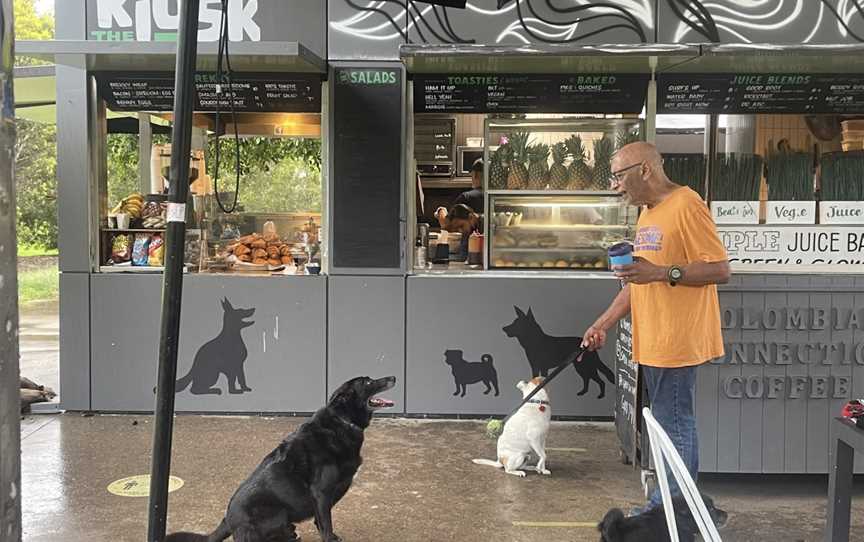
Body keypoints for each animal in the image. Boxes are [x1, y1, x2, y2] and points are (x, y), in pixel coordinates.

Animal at [166, 376, 398, 542]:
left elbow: (321, 522)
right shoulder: (322, 491)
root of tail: (227, 520)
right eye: (368, 382)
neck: (342, 420)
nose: (393, 377)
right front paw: (330, 538)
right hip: (276, 513)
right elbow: (326, 523)